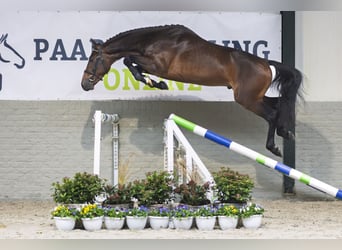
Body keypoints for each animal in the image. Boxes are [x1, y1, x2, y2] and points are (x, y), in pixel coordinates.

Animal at [81, 24, 302, 157]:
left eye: (92, 59)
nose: (85, 84)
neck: (154, 41)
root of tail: (266, 64)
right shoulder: (151, 65)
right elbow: (133, 64)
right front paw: (155, 83)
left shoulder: (158, 65)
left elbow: (129, 60)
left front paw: (156, 84)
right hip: (254, 97)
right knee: (279, 103)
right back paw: (286, 132)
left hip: (247, 99)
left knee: (272, 114)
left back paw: (274, 147)